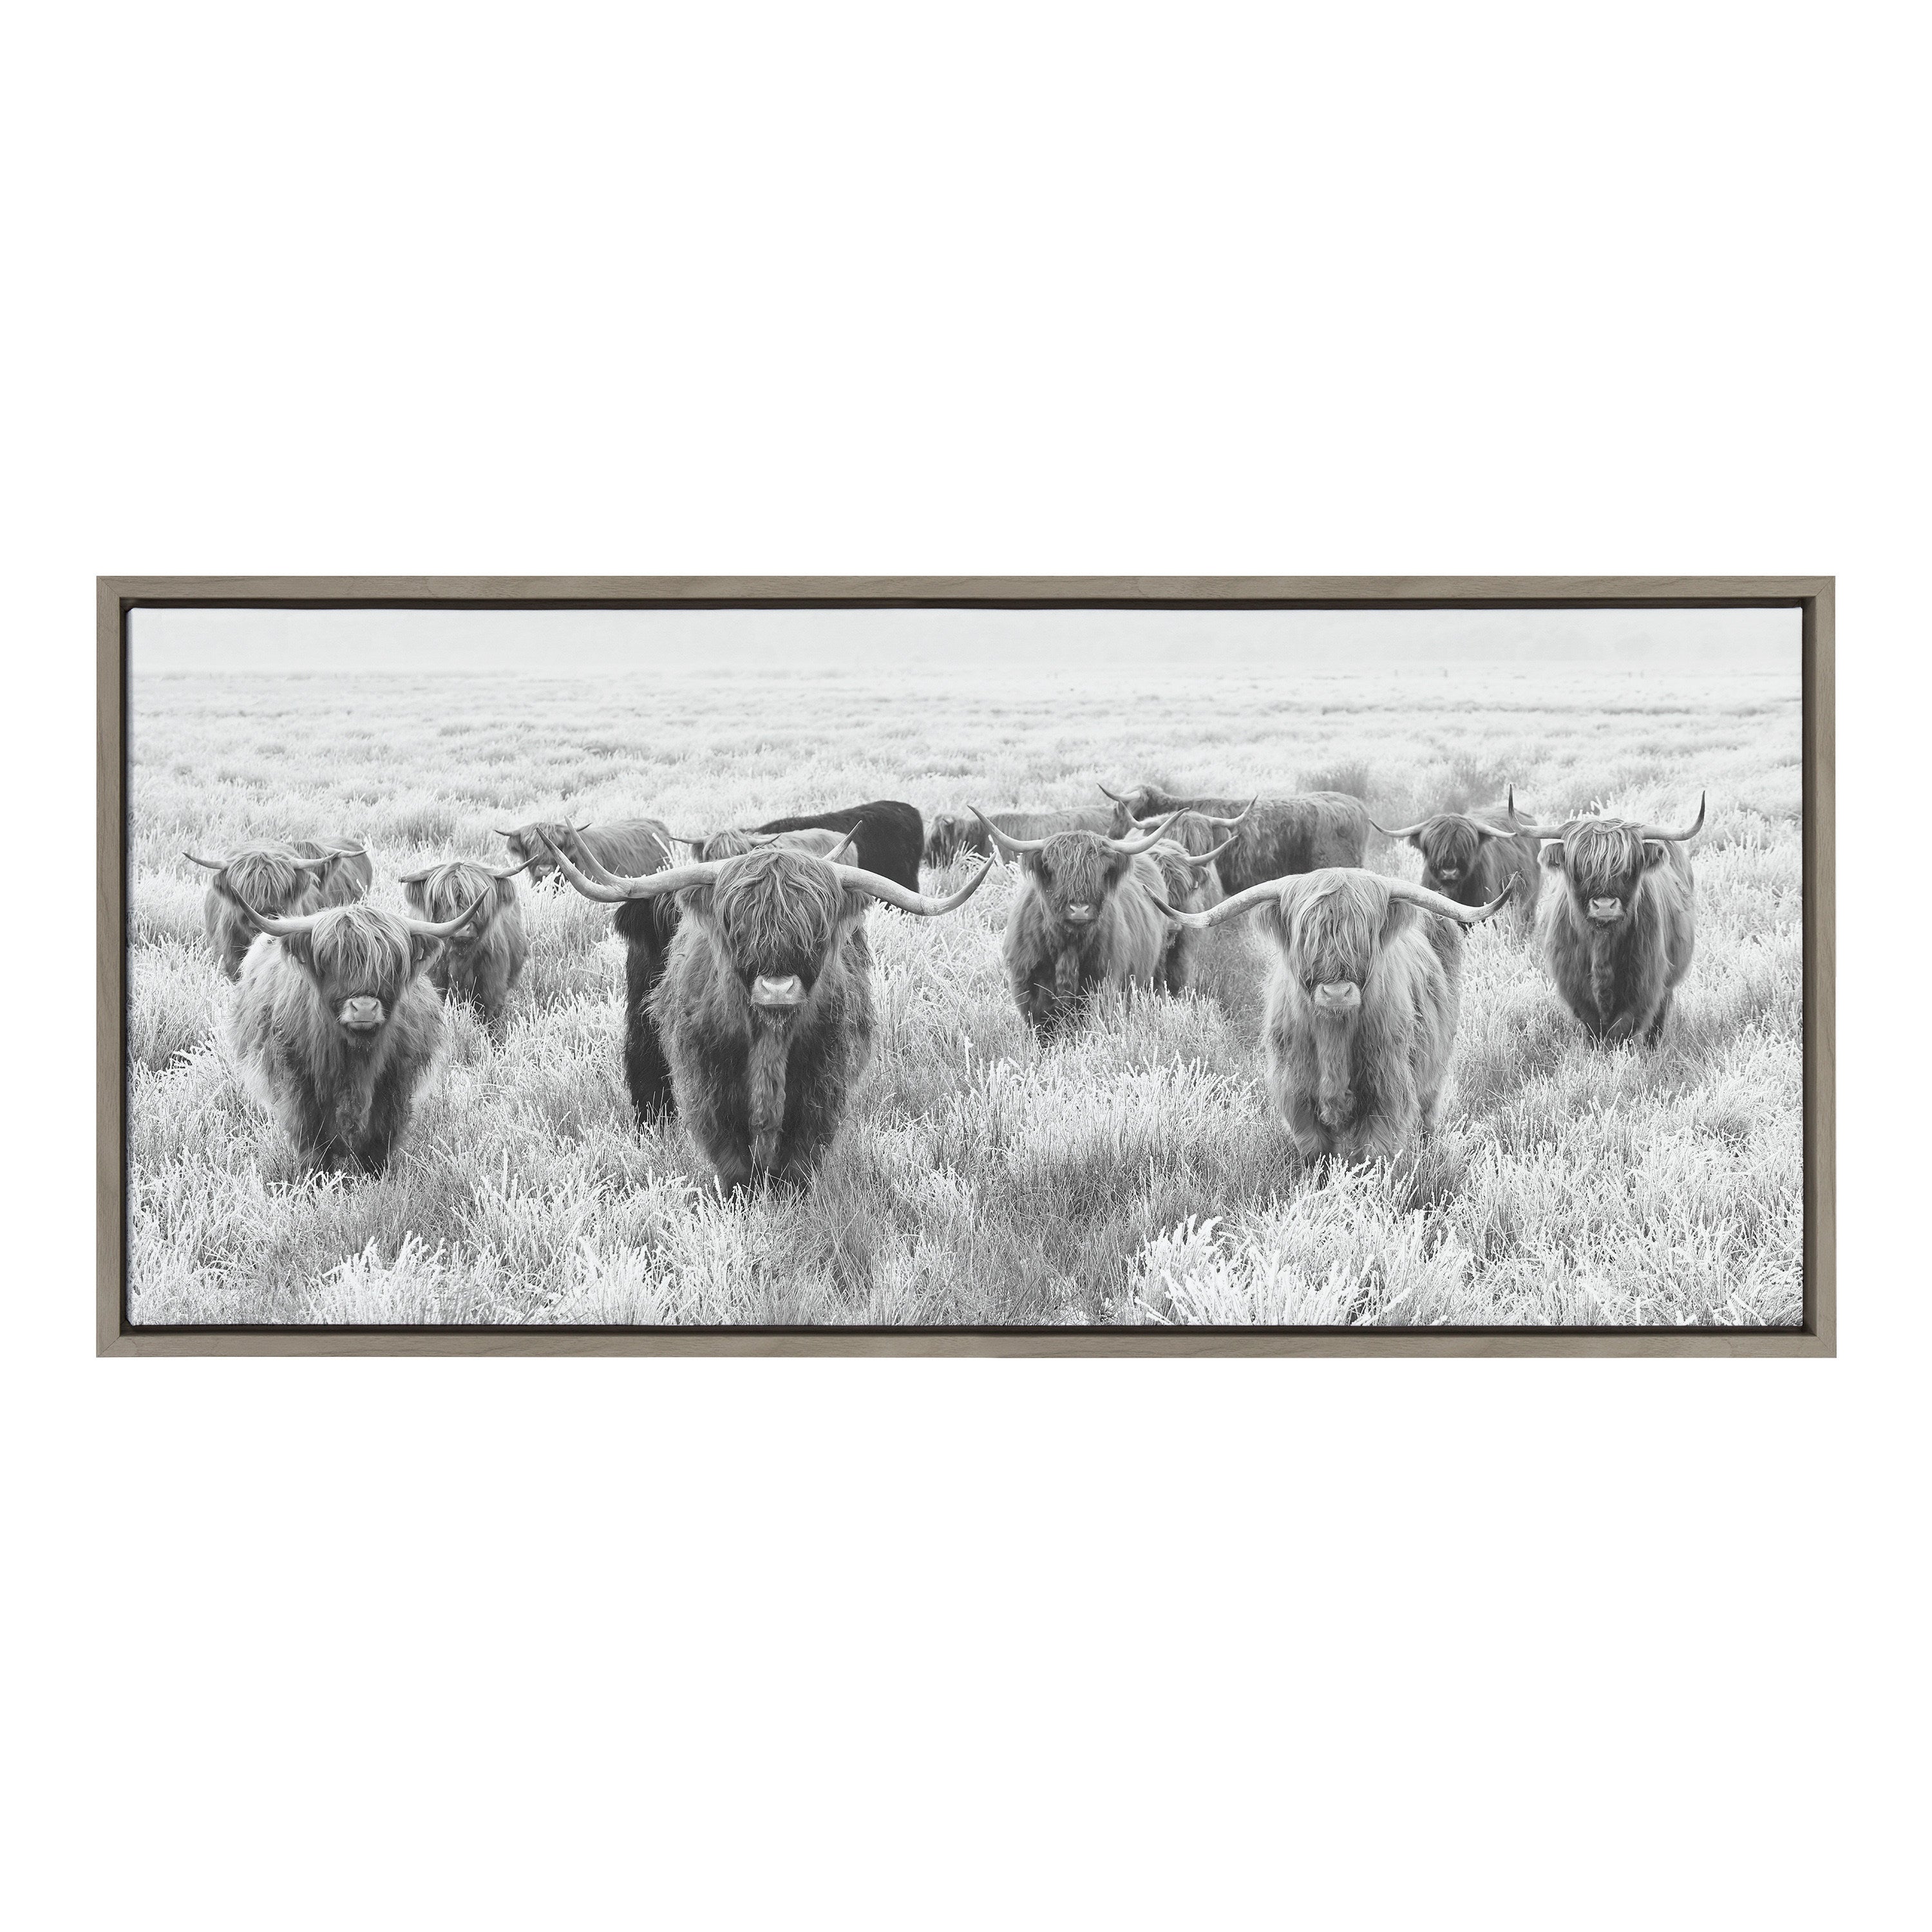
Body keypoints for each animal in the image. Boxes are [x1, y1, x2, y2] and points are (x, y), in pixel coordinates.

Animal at [222, 892, 492, 1174]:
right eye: (330, 960)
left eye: (393, 963)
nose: (364, 1008)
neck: (357, 1056)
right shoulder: (299, 1082)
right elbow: (311, 1138)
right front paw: (315, 1177)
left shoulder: (396, 1082)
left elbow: (381, 1138)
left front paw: (376, 1175)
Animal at [550, 841, 992, 1189]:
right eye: (735, 922)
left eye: (816, 925)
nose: (777, 989)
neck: (769, 1040)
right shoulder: (708, 1085)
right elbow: (732, 1160)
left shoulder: (822, 1087)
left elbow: (799, 1158)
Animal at [971, 807, 1184, 1034]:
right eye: (1053, 870)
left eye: (1100, 871)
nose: (1079, 909)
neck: (1068, 946)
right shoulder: (1031, 990)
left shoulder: (1103, 984)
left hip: (1155, 970)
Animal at [1155, 867, 1515, 1161]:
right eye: (1306, 935)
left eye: (1364, 935)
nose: (1337, 993)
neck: (1334, 1038)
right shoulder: (1298, 1097)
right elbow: (1317, 1156)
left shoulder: (1387, 1094)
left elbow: (1375, 1157)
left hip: (1434, 1073)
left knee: (1427, 1116)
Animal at [1520, 795, 1705, 1045]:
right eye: (1579, 868)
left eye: (1628, 868)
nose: (1604, 906)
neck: (1602, 943)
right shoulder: (1576, 989)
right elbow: (1595, 1030)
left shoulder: (1644, 986)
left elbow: (1621, 1031)